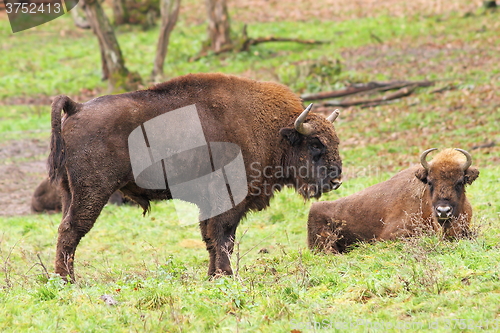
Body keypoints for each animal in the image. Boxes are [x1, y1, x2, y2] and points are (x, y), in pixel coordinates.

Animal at [47, 73, 344, 280]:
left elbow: (211, 238)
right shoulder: (229, 200)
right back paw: (68, 281)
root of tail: (77, 108)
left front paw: (213, 275)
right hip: (92, 191)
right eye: (315, 143)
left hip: (69, 191)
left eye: (335, 140)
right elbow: (223, 236)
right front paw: (225, 275)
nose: (336, 180)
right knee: (72, 229)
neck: (274, 131)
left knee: (64, 228)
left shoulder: (210, 203)